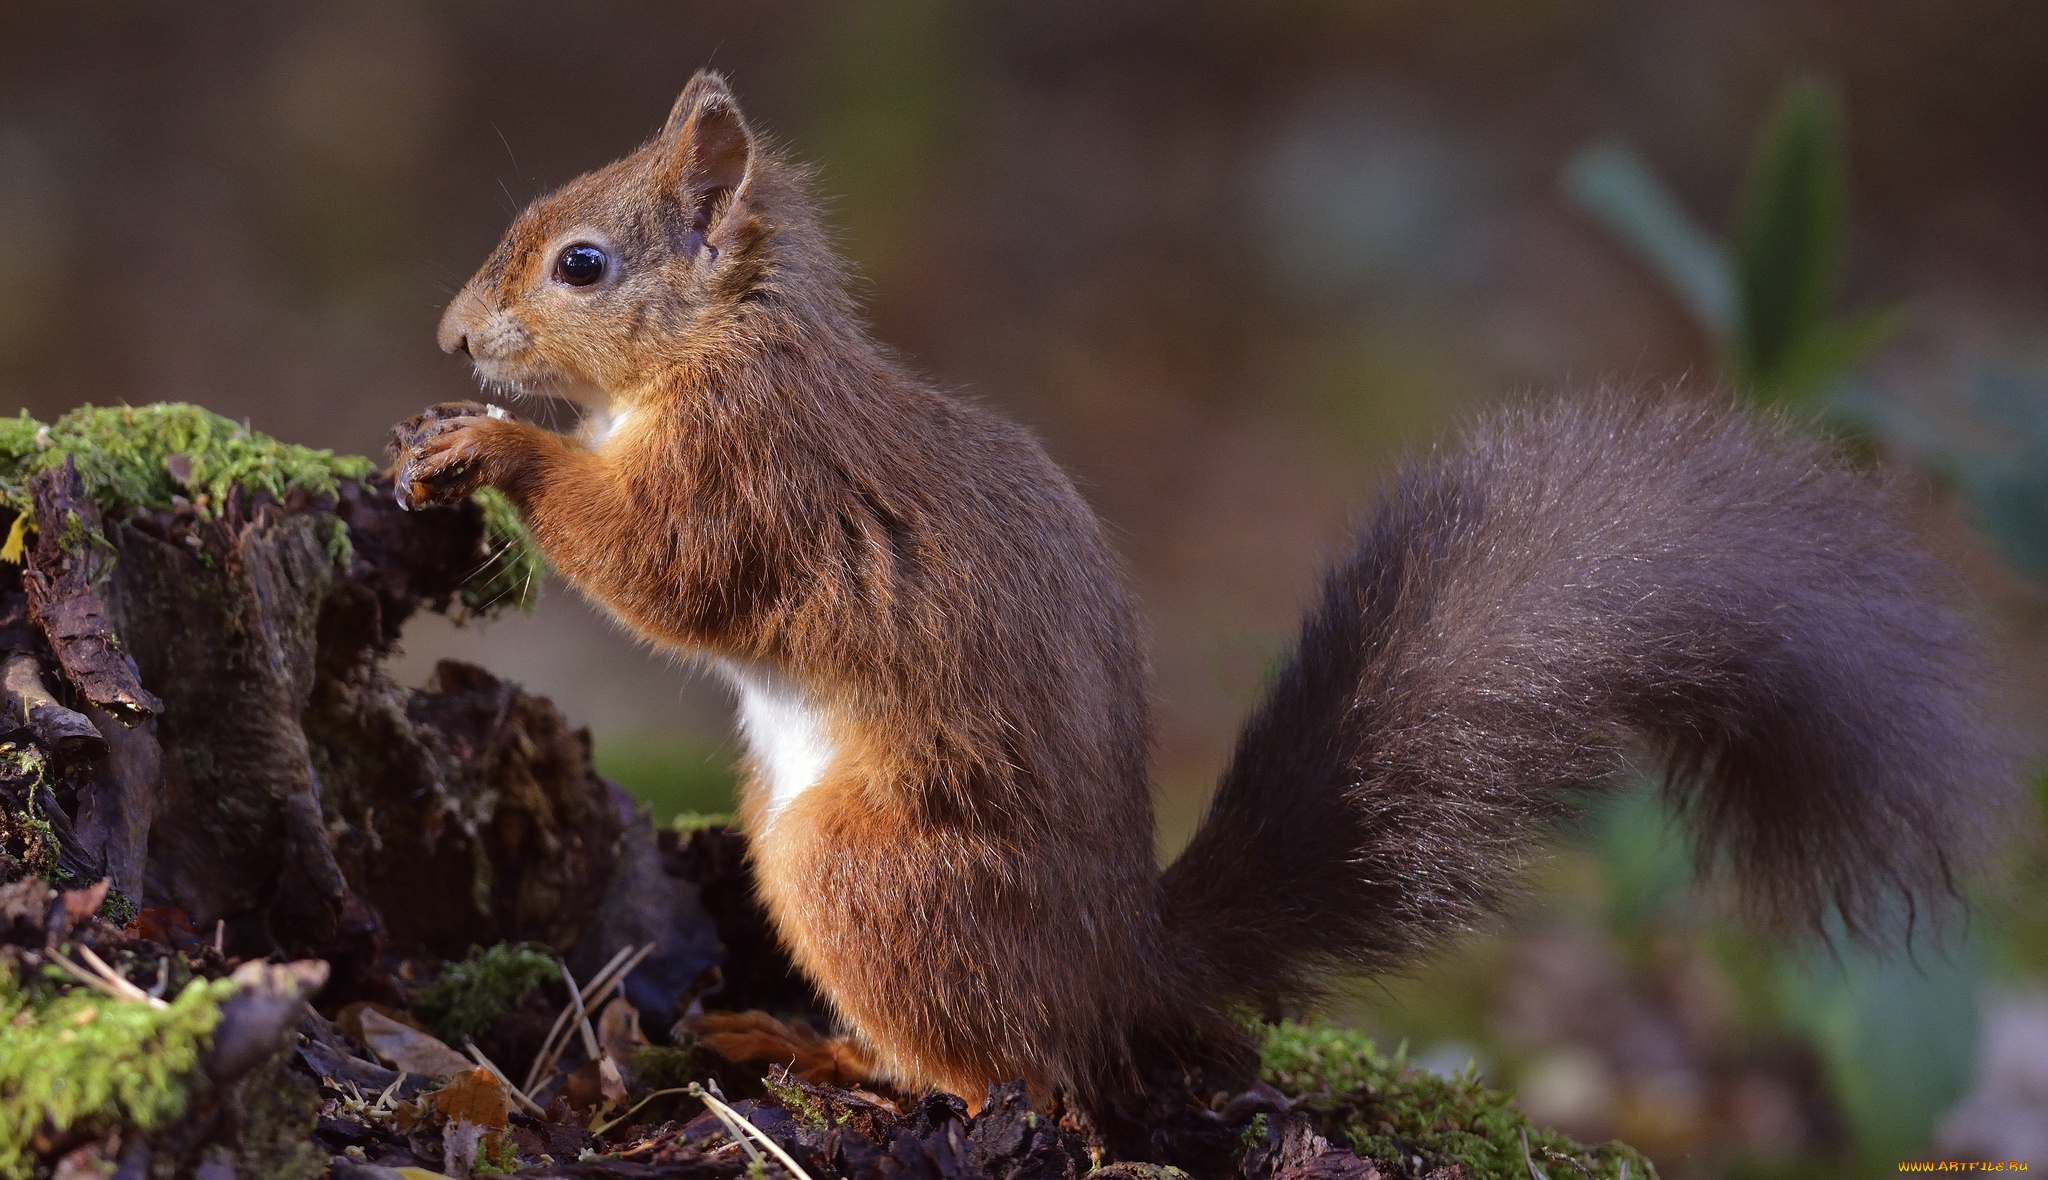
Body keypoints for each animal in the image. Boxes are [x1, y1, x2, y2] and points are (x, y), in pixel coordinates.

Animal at [391, 73, 2007, 1122]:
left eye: (583, 262)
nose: (453, 331)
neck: (723, 345)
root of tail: (1128, 958)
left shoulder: (755, 470)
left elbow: (667, 571)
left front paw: (491, 448)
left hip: (860, 870)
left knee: (1013, 1072)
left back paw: (826, 1055)